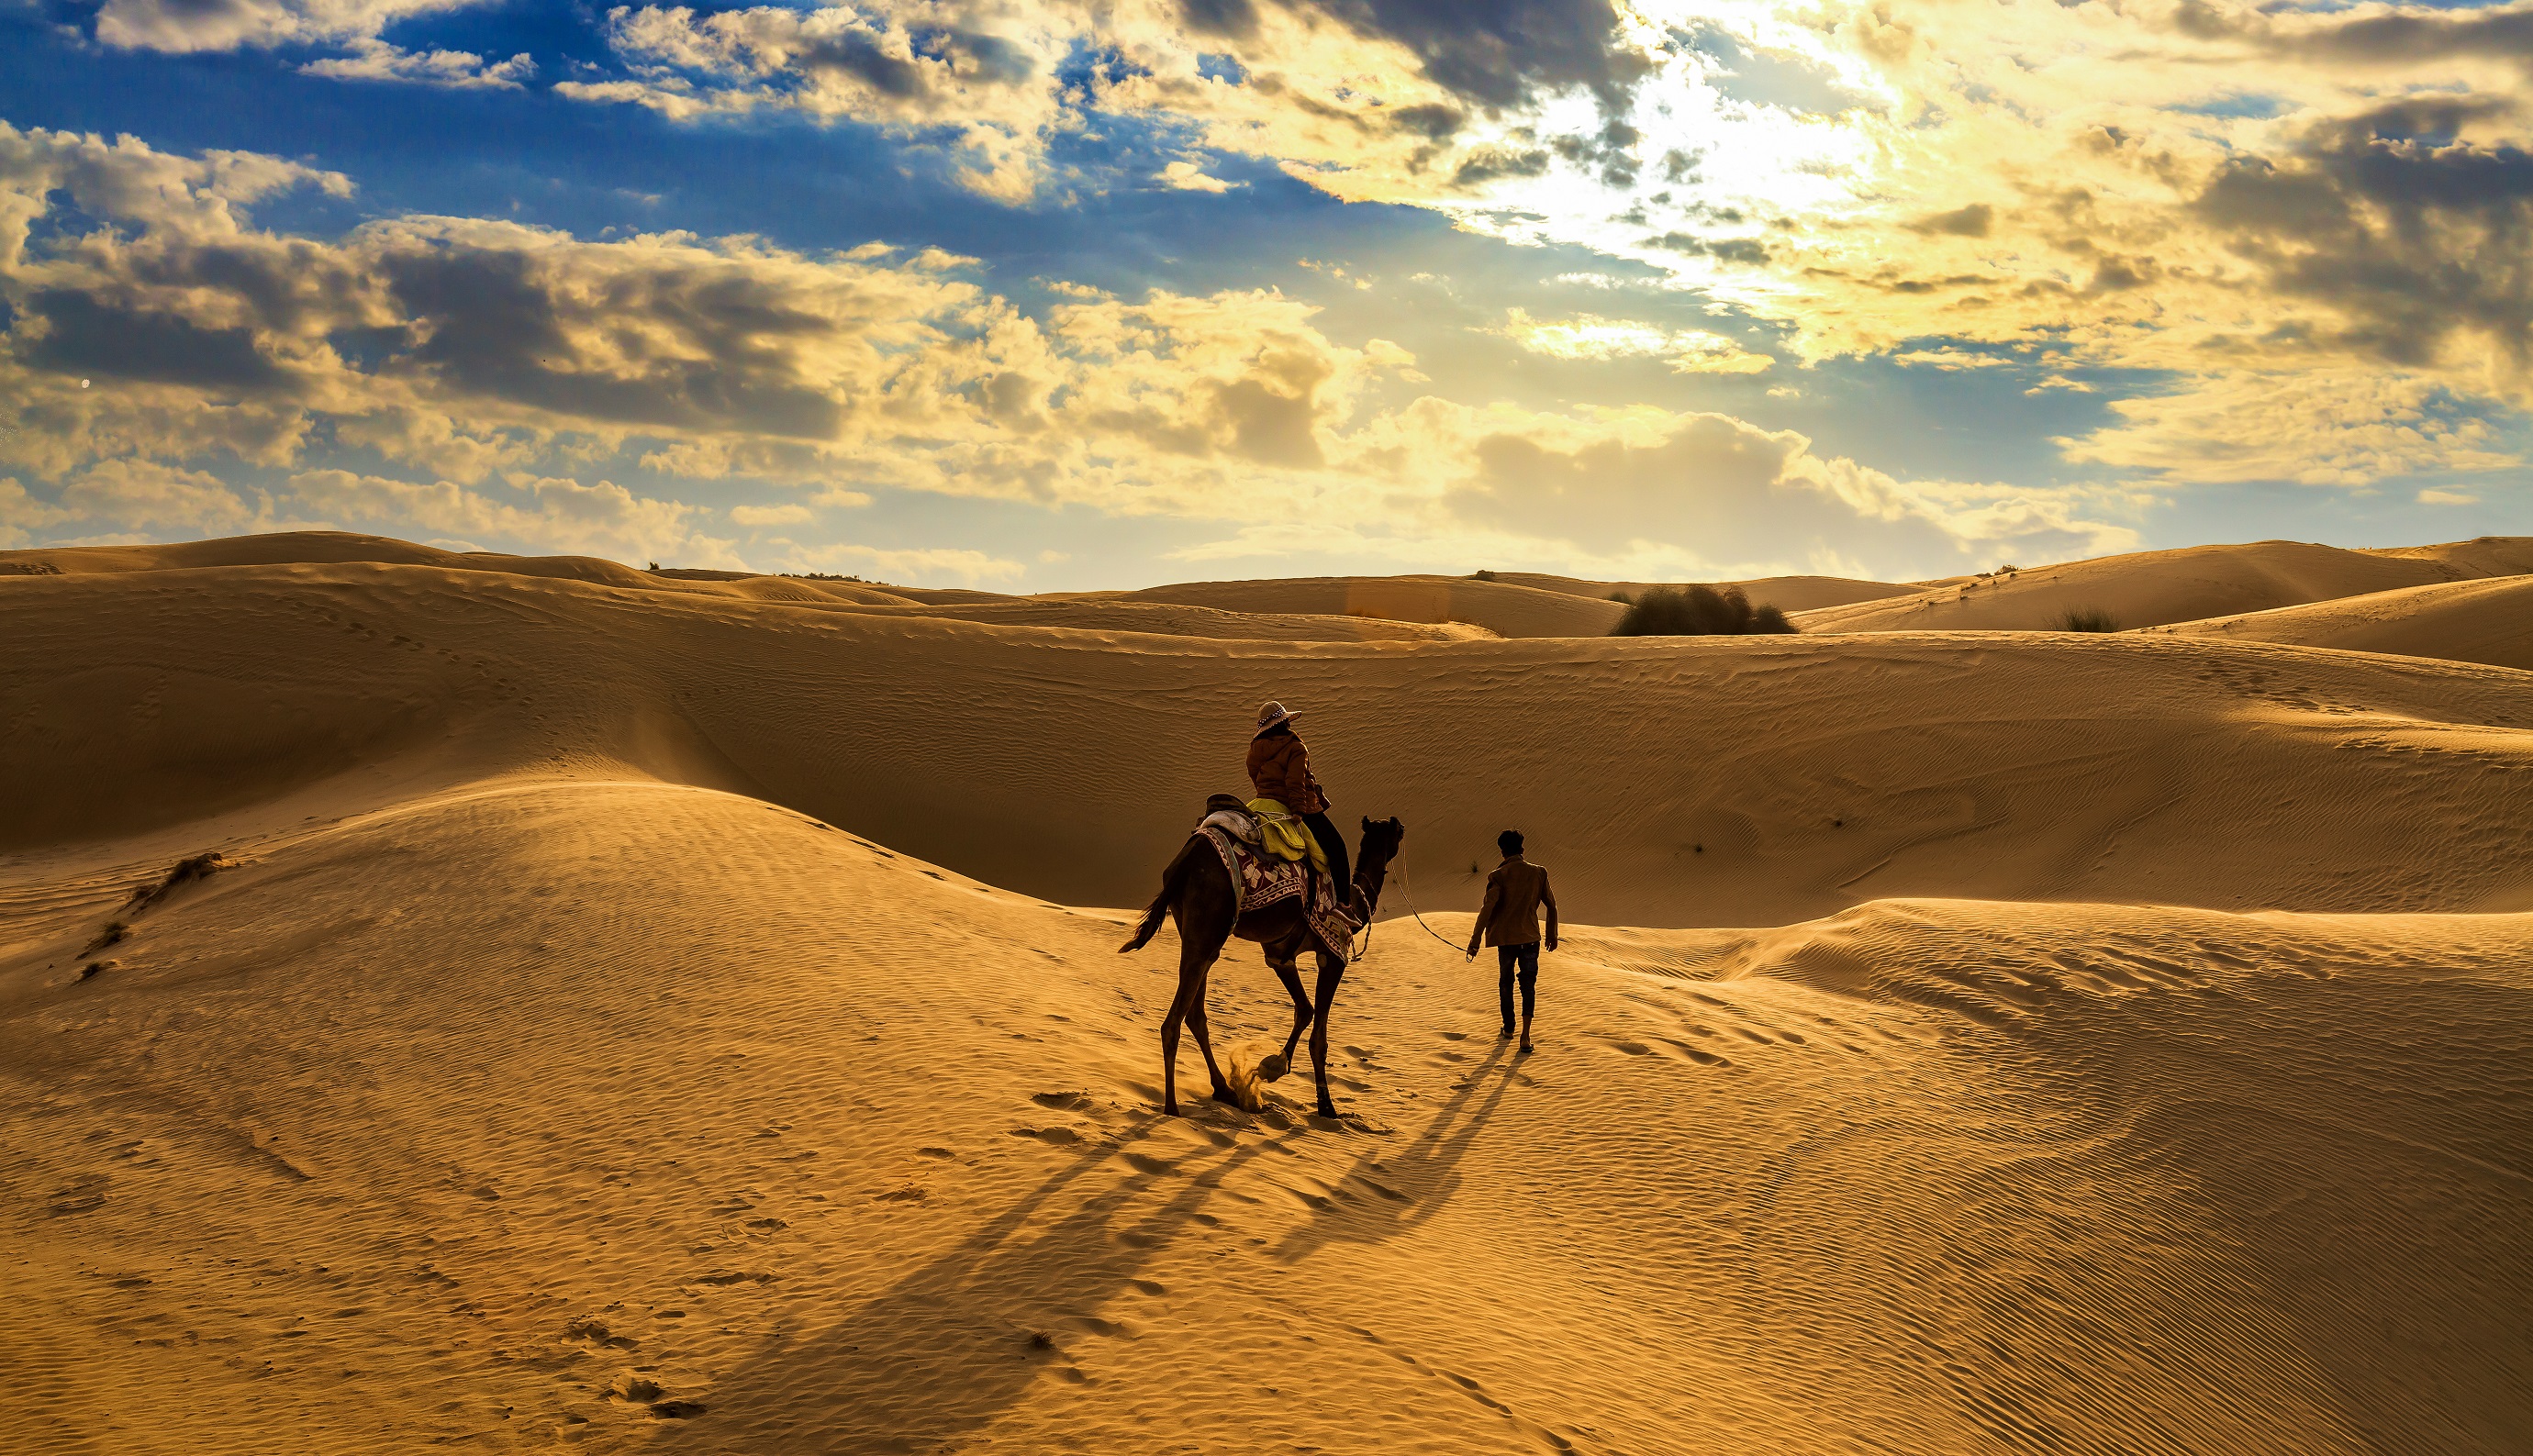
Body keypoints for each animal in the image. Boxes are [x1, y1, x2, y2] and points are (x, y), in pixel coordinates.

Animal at [1124, 820, 1408, 1114]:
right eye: (1395, 831)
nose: (1402, 826)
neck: (1356, 902)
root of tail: (1185, 860)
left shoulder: (1279, 955)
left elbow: (1305, 1010)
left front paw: (1273, 1066)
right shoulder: (1333, 955)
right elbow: (1318, 1038)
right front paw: (1326, 1106)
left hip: (1196, 934)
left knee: (1195, 1014)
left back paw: (1224, 1089)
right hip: (1207, 924)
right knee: (1173, 1024)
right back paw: (1172, 1107)